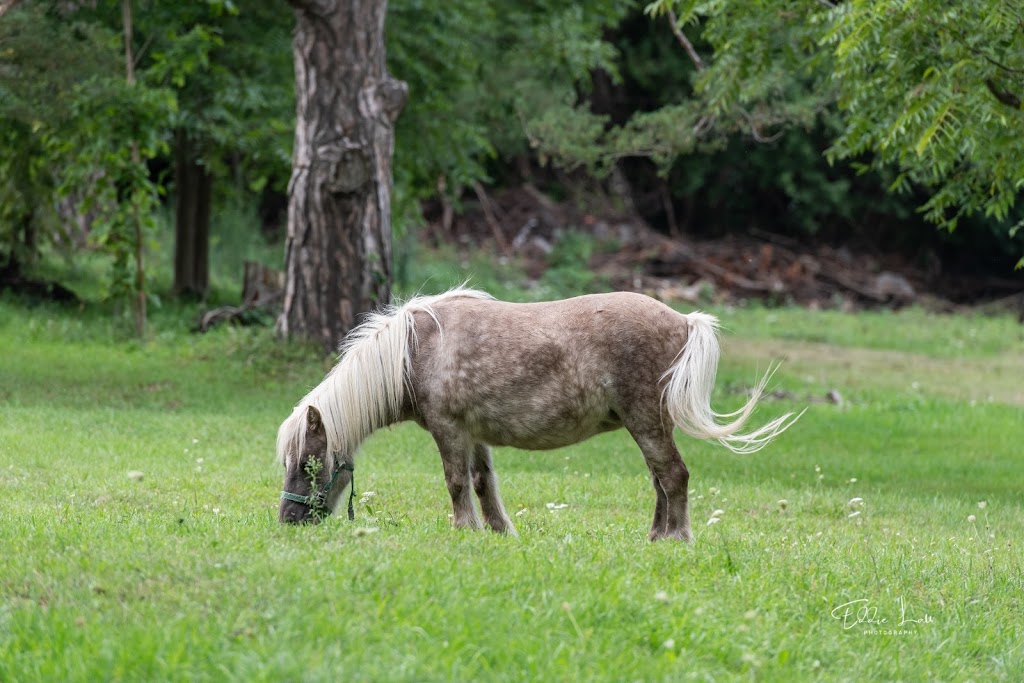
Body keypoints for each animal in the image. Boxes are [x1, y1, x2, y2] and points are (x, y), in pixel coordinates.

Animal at [278, 286, 798, 540]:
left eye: (307, 463)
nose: (287, 519)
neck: (416, 350)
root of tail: (684, 320)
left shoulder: (449, 431)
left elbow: (456, 483)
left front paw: (463, 530)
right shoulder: (474, 435)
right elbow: (483, 483)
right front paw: (497, 532)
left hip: (647, 422)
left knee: (674, 476)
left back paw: (677, 538)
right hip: (651, 425)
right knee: (661, 481)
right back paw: (654, 536)